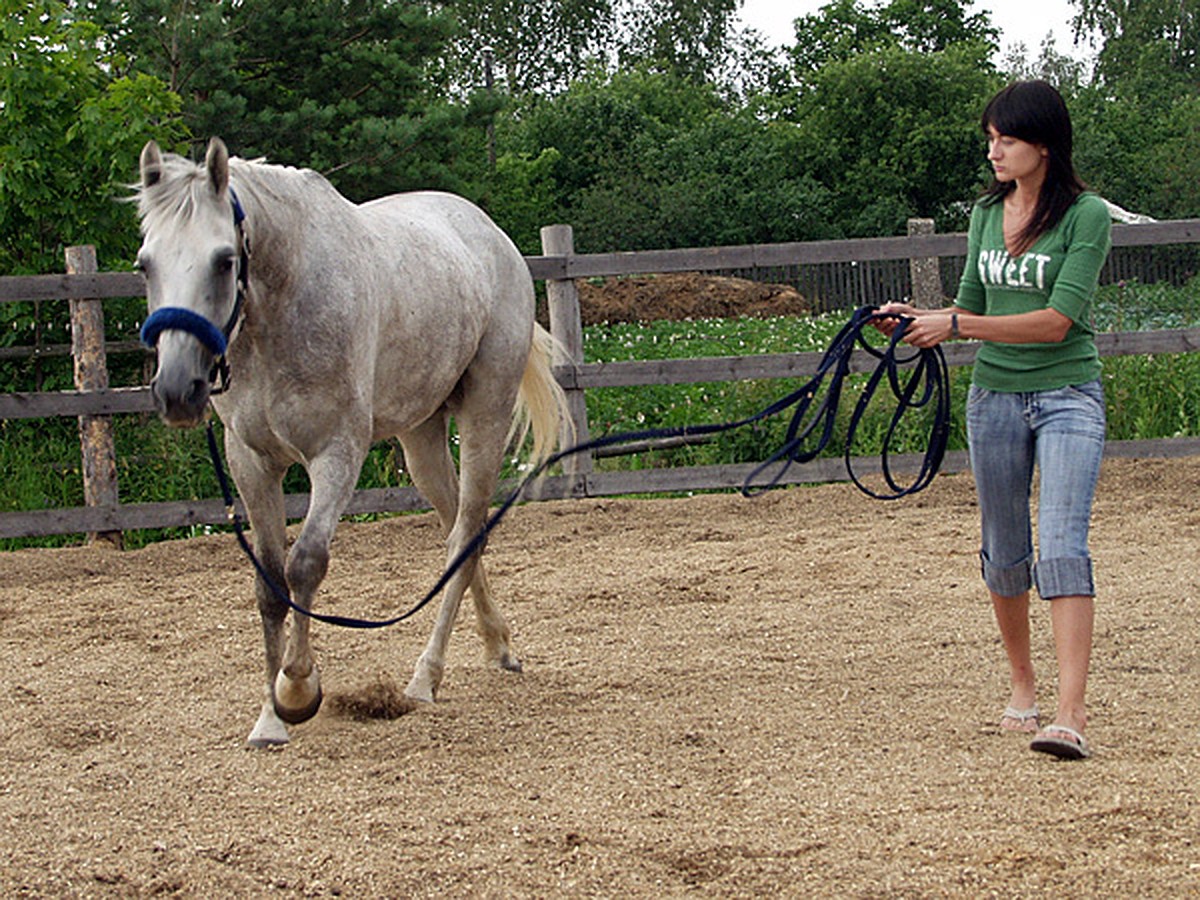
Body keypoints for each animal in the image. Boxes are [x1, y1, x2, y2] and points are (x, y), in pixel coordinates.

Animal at [136, 139, 566, 748]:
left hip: (486, 412)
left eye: (223, 259)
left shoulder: (336, 454)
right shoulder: (251, 461)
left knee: (464, 534)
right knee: (463, 532)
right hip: (420, 437)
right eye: (144, 263)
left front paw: (298, 690)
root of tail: (490, 234)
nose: (177, 390)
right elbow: (270, 582)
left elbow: (305, 565)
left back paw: (425, 678)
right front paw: (269, 720)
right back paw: (498, 647)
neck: (282, 310)